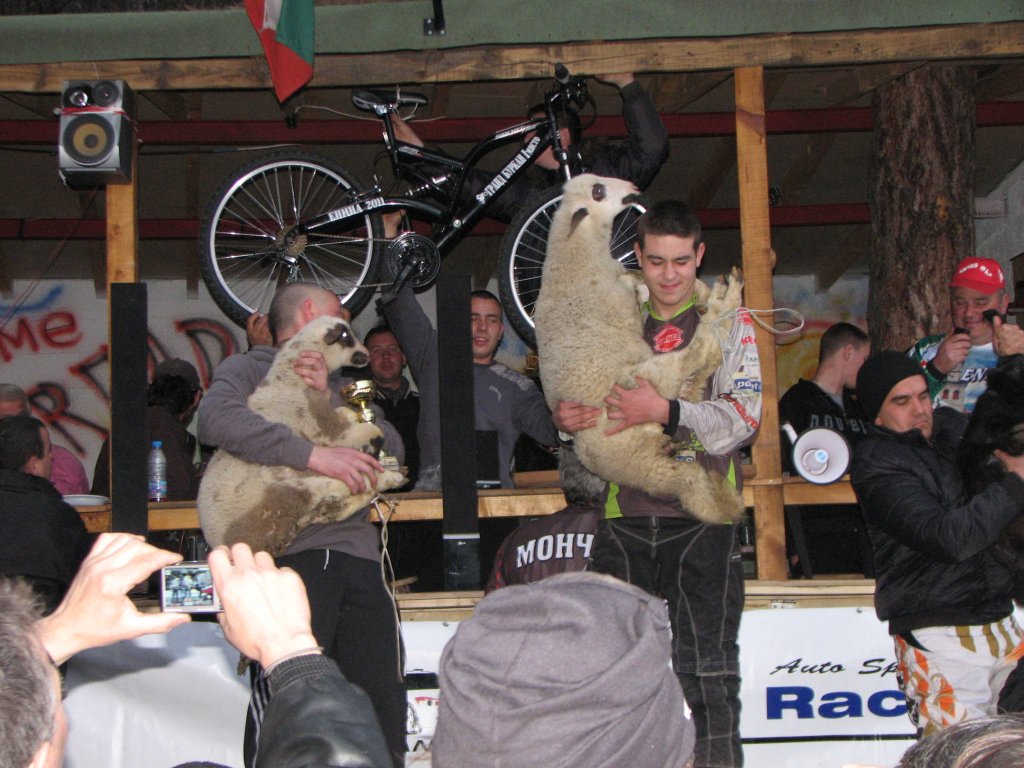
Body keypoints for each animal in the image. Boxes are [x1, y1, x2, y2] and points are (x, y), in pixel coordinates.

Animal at [198, 315, 407, 555]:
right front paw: (372, 440)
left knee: (329, 508)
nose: (367, 354)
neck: (288, 380)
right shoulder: (316, 422)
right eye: (345, 336)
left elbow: (345, 413)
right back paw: (385, 476)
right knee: (333, 488)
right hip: (284, 492)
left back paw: (391, 477)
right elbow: (358, 431)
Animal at [535, 174, 745, 523]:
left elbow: (639, 278)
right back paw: (726, 299)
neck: (576, 257)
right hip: (649, 383)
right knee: (703, 349)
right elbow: (637, 290)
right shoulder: (619, 303)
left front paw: (699, 292)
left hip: (649, 461)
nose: (632, 186)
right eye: (598, 191)